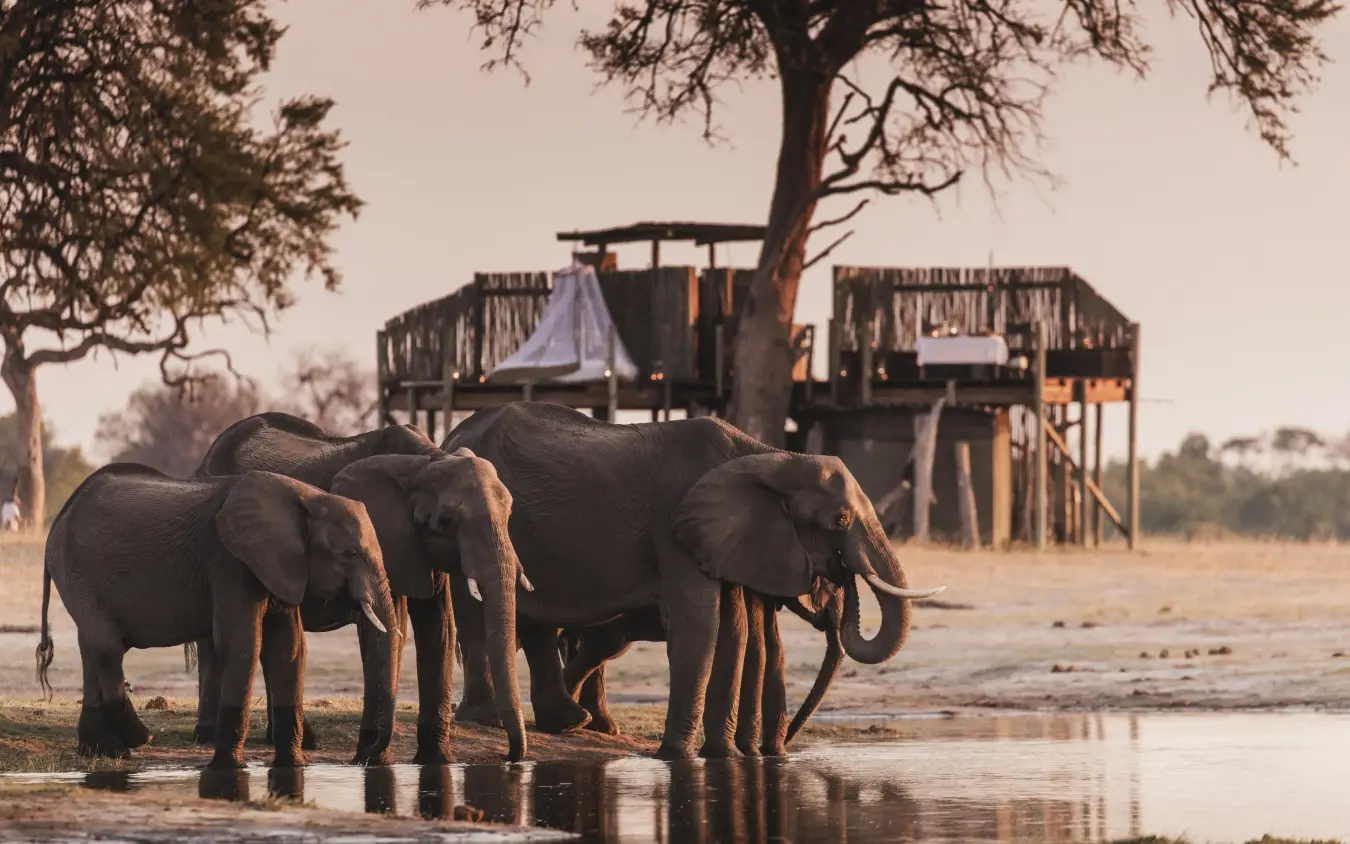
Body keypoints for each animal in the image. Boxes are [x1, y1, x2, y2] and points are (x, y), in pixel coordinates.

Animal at [34, 463, 398, 769]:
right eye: (350, 553)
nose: (362, 759)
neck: (307, 496)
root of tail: (60, 517)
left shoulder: (281, 565)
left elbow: (289, 649)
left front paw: (293, 766)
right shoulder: (230, 561)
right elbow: (243, 644)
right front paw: (230, 767)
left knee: (91, 648)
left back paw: (104, 751)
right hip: (79, 572)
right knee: (108, 647)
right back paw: (137, 739)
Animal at [190, 411, 529, 763]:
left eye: (509, 514)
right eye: (446, 521)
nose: (508, 757)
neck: (427, 461)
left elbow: (438, 628)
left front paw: (436, 760)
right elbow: (386, 629)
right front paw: (373, 758)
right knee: (214, 640)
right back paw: (206, 734)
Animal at [442, 401, 945, 760]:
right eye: (839, 519)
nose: (843, 573)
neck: (770, 457)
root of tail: (451, 435)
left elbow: (735, 631)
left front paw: (723, 757)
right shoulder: (674, 525)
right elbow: (701, 624)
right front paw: (676, 757)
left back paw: (567, 721)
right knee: (482, 612)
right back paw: (494, 720)